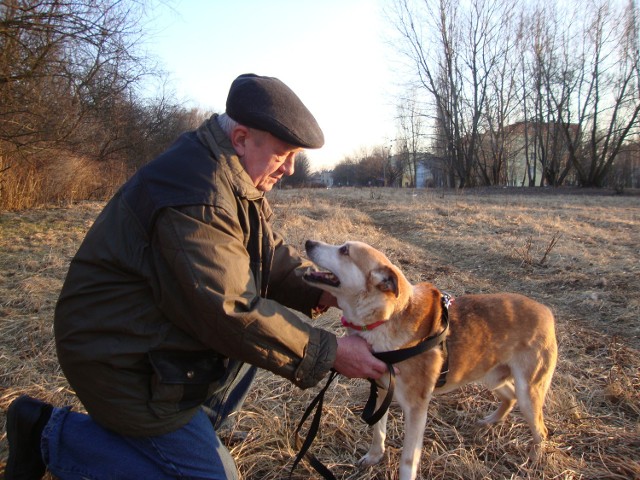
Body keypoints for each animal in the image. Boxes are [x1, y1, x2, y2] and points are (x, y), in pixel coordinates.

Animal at [302, 239, 556, 480]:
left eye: (344, 250)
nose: (308, 243)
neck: (386, 320)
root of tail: (547, 311)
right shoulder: (382, 389)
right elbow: (378, 431)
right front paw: (374, 457)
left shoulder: (416, 408)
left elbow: (407, 460)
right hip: (493, 376)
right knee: (510, 398)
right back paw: (490, 421)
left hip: (528, 391)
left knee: (540, 429)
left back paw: (534, 458)